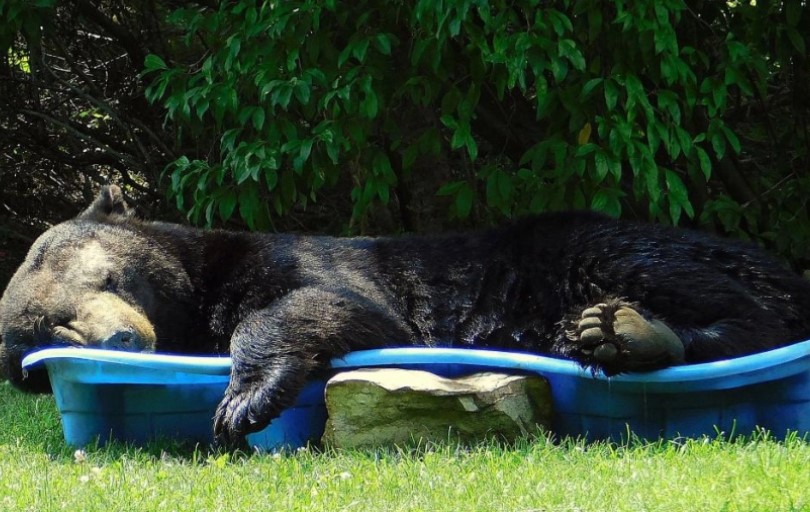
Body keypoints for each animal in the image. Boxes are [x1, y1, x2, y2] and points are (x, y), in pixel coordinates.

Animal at [2, 185, 810, 446]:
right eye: (46, 333)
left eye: (104, 276)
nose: (121, 336)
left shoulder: (297, 259)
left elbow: (335, 304)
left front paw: (245, 399)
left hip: (603, 247)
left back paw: (626, 330)